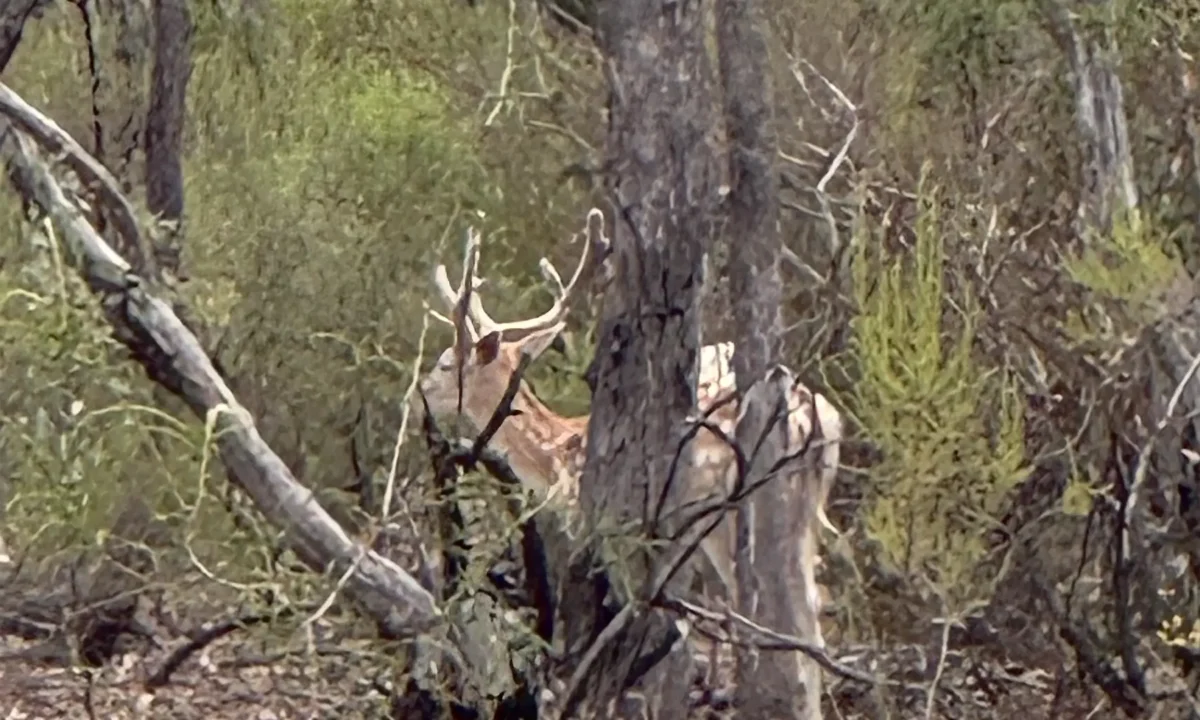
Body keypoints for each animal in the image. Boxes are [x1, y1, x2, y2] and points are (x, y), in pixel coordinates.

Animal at [418, 208, 842, 715]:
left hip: (729, 514)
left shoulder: (605, 525)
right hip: (800, 516)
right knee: (810, 613)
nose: (420, 389)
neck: (557, 457)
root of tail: (818, 421)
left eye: (447, 364)